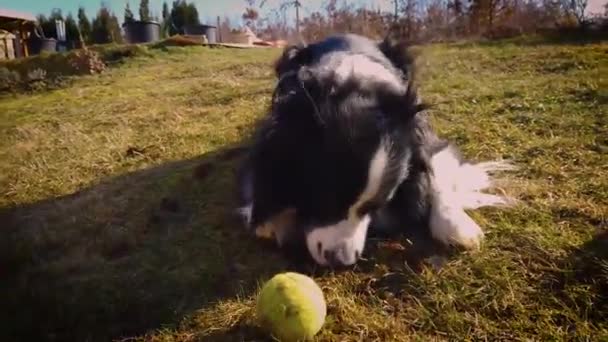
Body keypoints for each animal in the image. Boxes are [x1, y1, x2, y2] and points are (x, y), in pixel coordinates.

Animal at [233, 32, 512, 268]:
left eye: (375, 207)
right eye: (325, 201)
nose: (342, 262)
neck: (353, 84)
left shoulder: (423, 135)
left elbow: (437, 169)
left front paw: (457, 227)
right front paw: (273, 219)